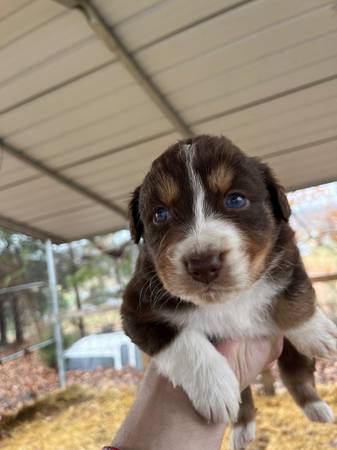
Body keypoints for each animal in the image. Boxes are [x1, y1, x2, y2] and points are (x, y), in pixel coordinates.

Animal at [121, 134, 336, 450]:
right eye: (160, 214)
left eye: (235, 199)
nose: (203, 264)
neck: (226, 302)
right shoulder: (135, 308)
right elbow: (181, 340)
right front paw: (214, 387)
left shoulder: (287, 252)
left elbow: (293, 294)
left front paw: (318, 331)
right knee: (246, 393)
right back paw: (242, 428)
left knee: (295, 371)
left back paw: (316, 407)